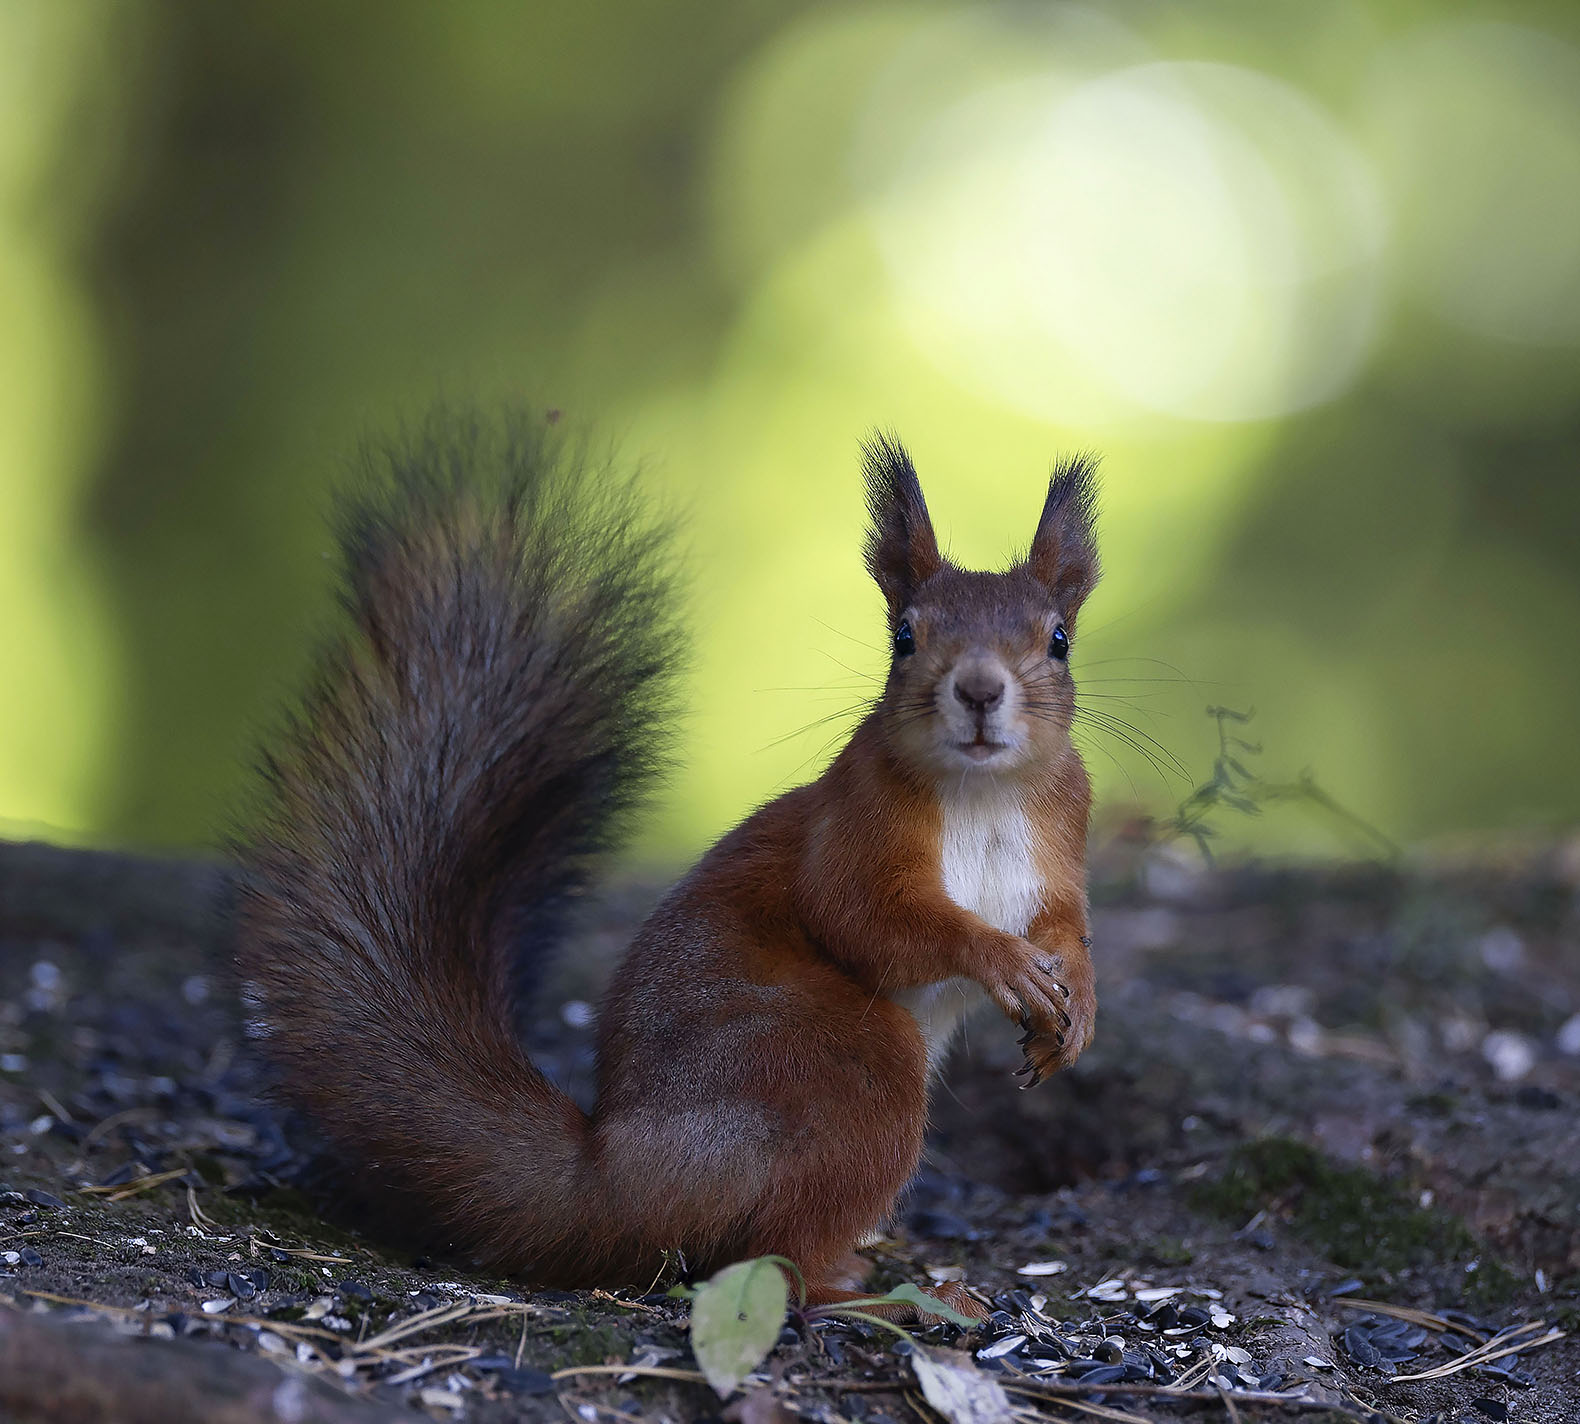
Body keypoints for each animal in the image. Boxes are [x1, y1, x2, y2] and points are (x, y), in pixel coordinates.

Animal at [233, 404, 1099, 1314]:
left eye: (1059, 640)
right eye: (904, 637)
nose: (979, 690)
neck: (985, 794)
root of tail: (615, 1181)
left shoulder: (1061, 835)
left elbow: (1065, 922)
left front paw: (1074, 1009)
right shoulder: (855, 826)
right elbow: (864, 917)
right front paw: (999, 959)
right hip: (844, 1069)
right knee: (777, 1262)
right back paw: (880, 1291)